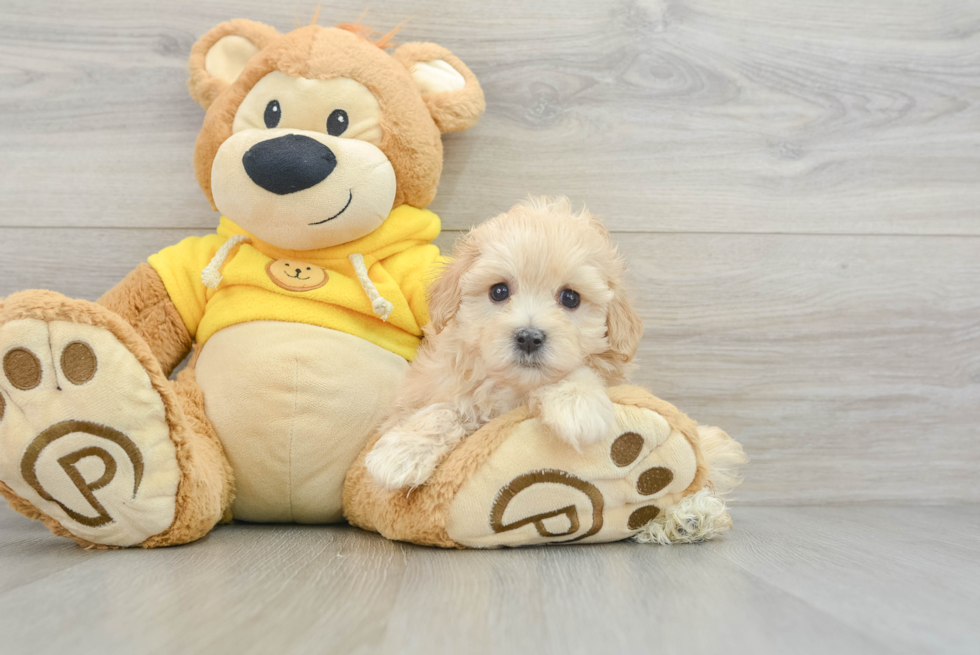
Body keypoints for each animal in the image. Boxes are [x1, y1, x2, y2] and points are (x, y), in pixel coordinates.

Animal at [366, 196, 644, 492]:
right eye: (499, 291)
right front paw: (402, 452)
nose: (529, 338)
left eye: (571, 298)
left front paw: (577, 404)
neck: (514, 387)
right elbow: (447, 407)